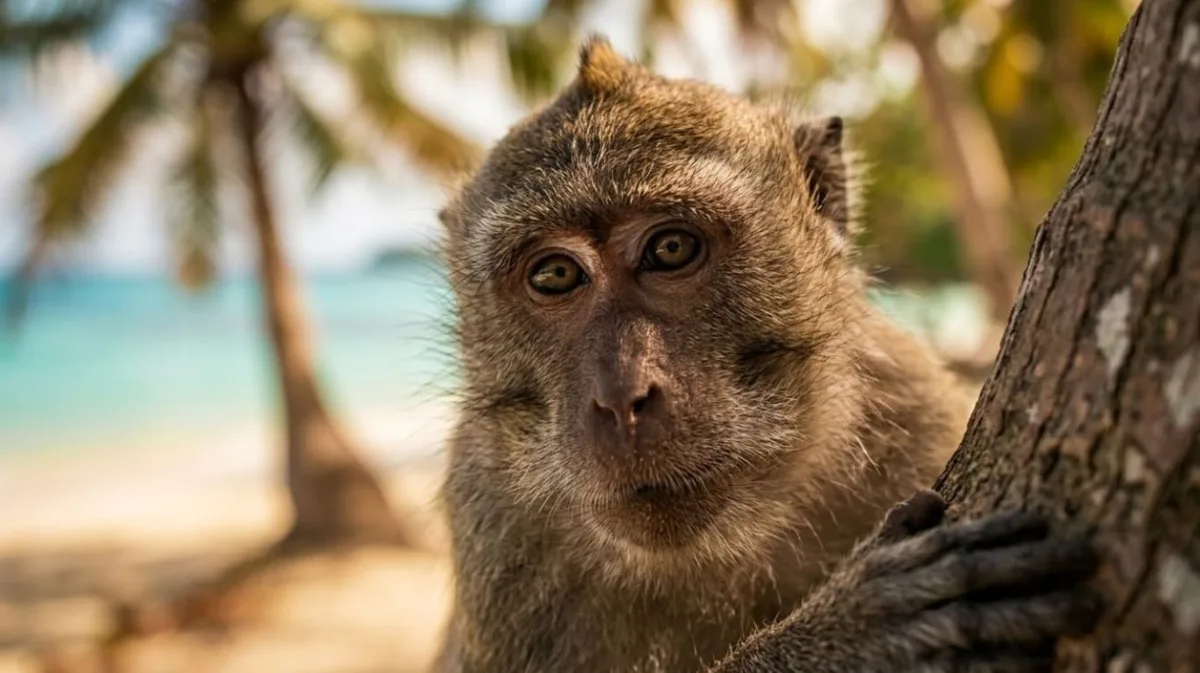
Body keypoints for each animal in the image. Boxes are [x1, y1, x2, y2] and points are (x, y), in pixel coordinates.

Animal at [431, 35, 1100, 673]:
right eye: (555, 276)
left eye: (670, 249)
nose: (621, 396)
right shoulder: (496, 533)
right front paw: (849, 640)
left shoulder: (912, 409)